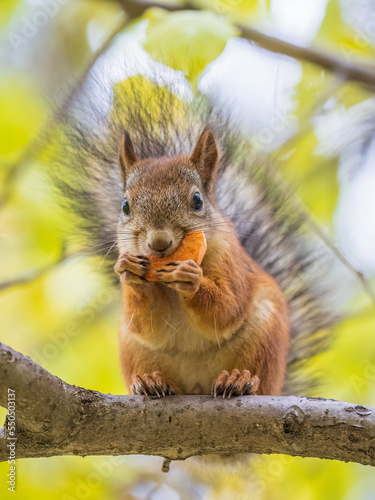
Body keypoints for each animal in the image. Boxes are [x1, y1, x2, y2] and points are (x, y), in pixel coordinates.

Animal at [53, 74, 338, 398]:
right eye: (125, 206)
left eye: (197, 200)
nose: (159, 243)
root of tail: (197, 385)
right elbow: (147, 324)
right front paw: (130, 272)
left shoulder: (231, 261)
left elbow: (227, 308)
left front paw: (190, 278)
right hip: (133, 348)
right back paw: (150, 382)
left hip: (265, 337)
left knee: (256, 374)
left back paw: (239, 380)